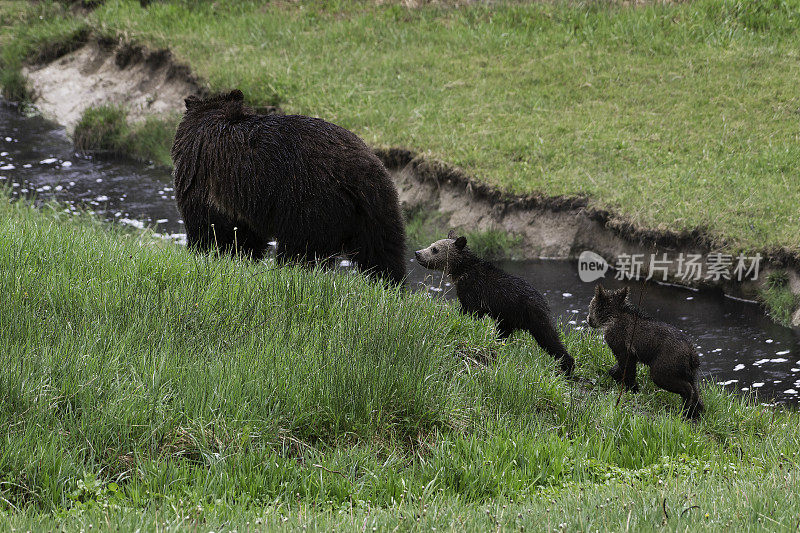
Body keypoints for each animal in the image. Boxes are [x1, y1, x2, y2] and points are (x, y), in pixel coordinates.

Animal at [170, 89, 406, 284]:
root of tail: (357, 176)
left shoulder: (206, 179)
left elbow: (210, 228)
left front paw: (206, 254)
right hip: (380, 208)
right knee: (384, 253)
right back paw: (391, 285)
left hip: (308, 204)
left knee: (300, 252)